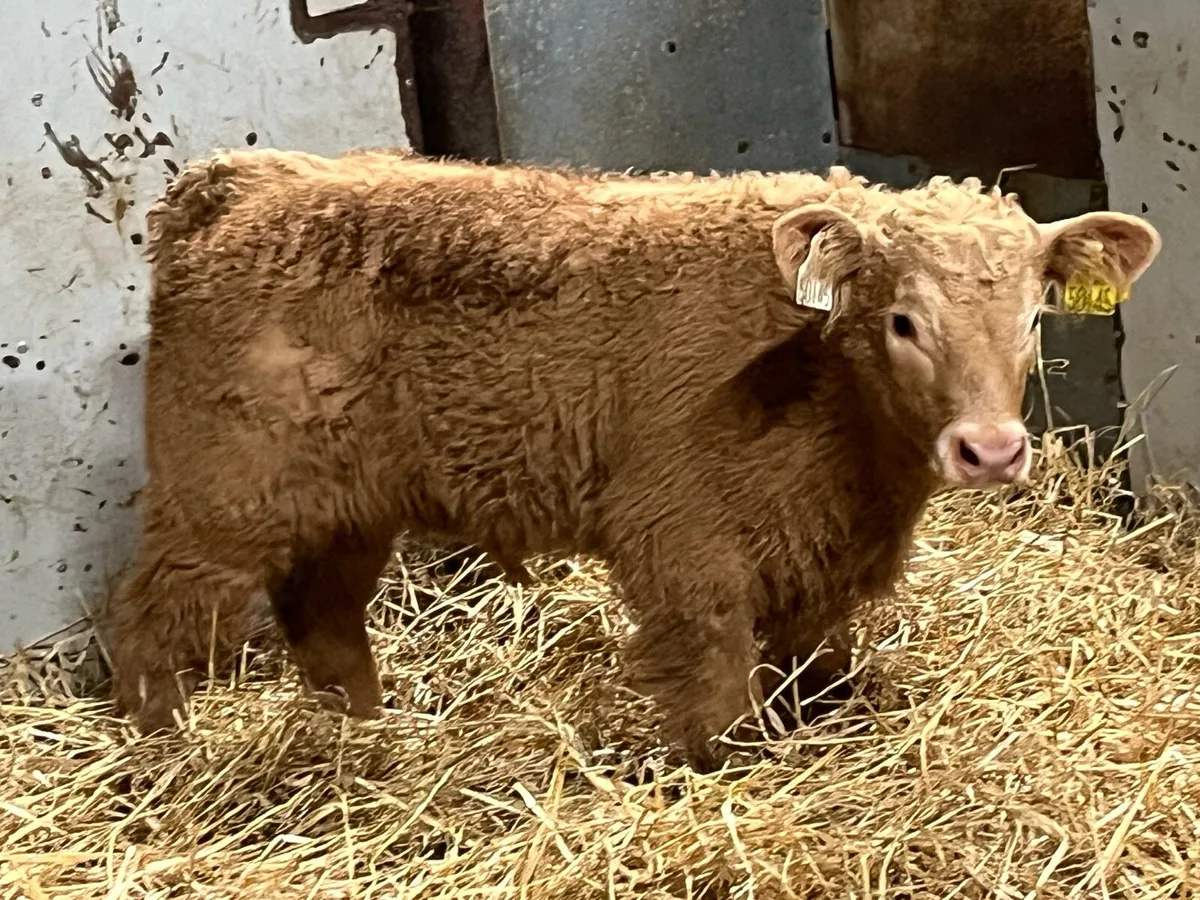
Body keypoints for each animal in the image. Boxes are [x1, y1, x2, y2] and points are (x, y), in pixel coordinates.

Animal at [105, 149, 1161, 769]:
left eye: (1032, 318)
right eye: (902, 319)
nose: (990, 448)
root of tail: (248, 180)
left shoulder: (817, 558)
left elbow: (808, 668)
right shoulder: (681, 540)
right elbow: (716, 679)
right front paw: (726, 773)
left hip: (348, 508)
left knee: (323, 619)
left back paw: (371, 737)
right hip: (220, 499)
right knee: (154, 622)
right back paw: (165, 757)